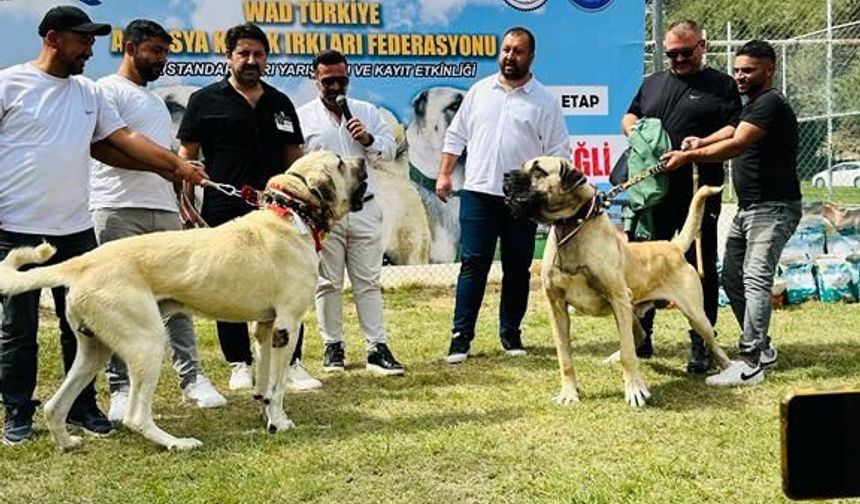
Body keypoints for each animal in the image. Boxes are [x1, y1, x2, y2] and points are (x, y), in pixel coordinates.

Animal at [0, 151, 366, 452]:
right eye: (340, 163)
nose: (365, 156)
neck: (290, 213)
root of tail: (83, 262)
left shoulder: (265, 328)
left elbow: (264, 383)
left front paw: (267, 417)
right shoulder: (285, 327)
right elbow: (277, 387)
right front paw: (279, 422)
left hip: (94, 350)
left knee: (55, 405)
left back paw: (66, 442)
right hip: (147, 343)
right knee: (135, 416)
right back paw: (177, 443)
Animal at [500, 158, 728, 410]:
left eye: (538, 170)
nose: (505, 176)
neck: (572, 226)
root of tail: (673, 246)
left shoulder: (618, 298)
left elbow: (629, 354)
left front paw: (635, 391)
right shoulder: (556, 305)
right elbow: (564, 355)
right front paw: (568, 393)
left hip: (695, 315)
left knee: (713, 344)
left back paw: (730, 370)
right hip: (635, 310)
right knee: (641, 335)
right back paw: (613, 357)